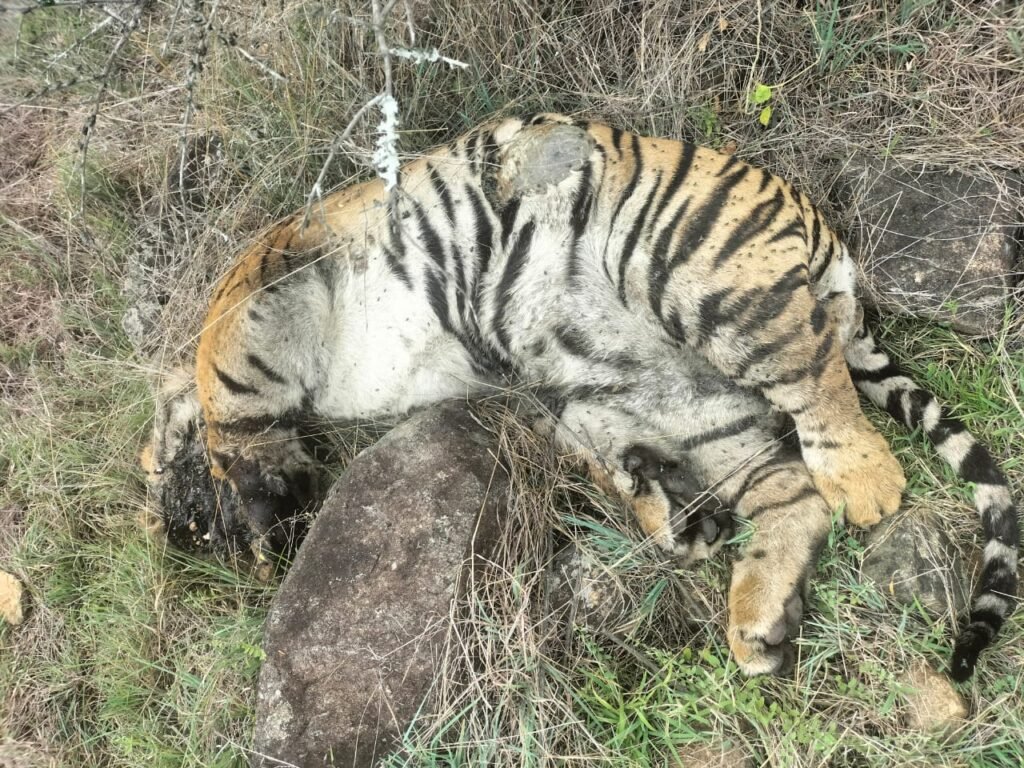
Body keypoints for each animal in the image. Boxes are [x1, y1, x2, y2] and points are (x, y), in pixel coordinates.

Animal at [142, 113, 1019, 681]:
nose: (164, 535)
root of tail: (820, 228)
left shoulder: (259, 285)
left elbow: (223, 394)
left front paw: (250, 513)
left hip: (697, 273)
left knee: (815, 380)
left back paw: (864, 485)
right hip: (666, 399)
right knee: (786, 492)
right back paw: (743, 606)